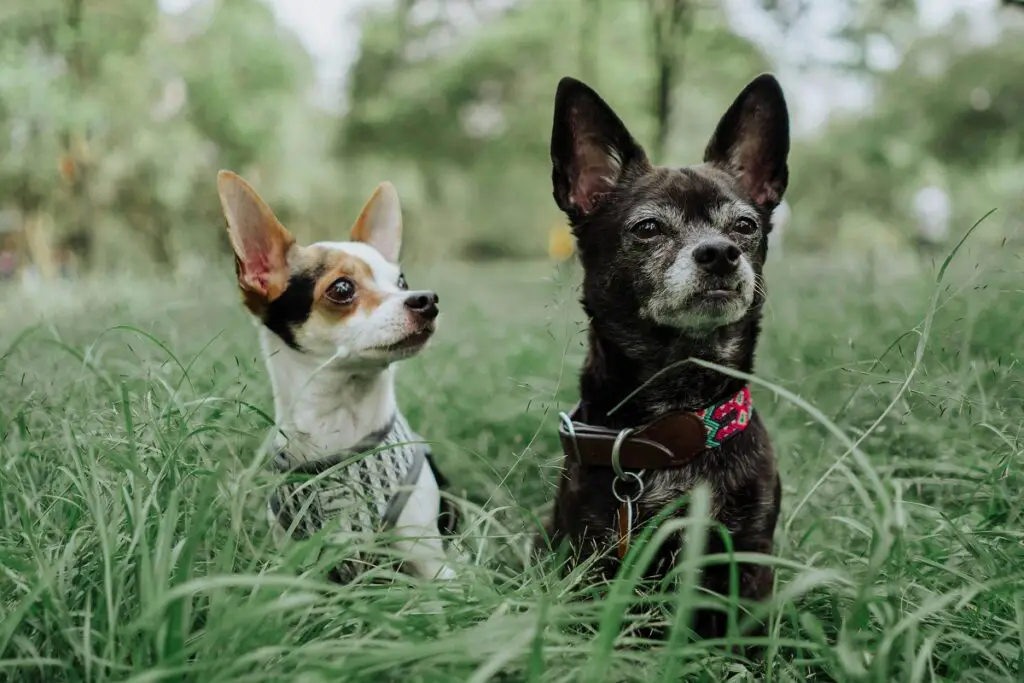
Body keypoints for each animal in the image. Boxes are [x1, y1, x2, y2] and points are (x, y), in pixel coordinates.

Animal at [544, 74, 790, 643]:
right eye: (649, 228)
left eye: (745, 225)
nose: (720, 253)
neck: (678, 422)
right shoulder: (592, 561)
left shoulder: (749, 566)